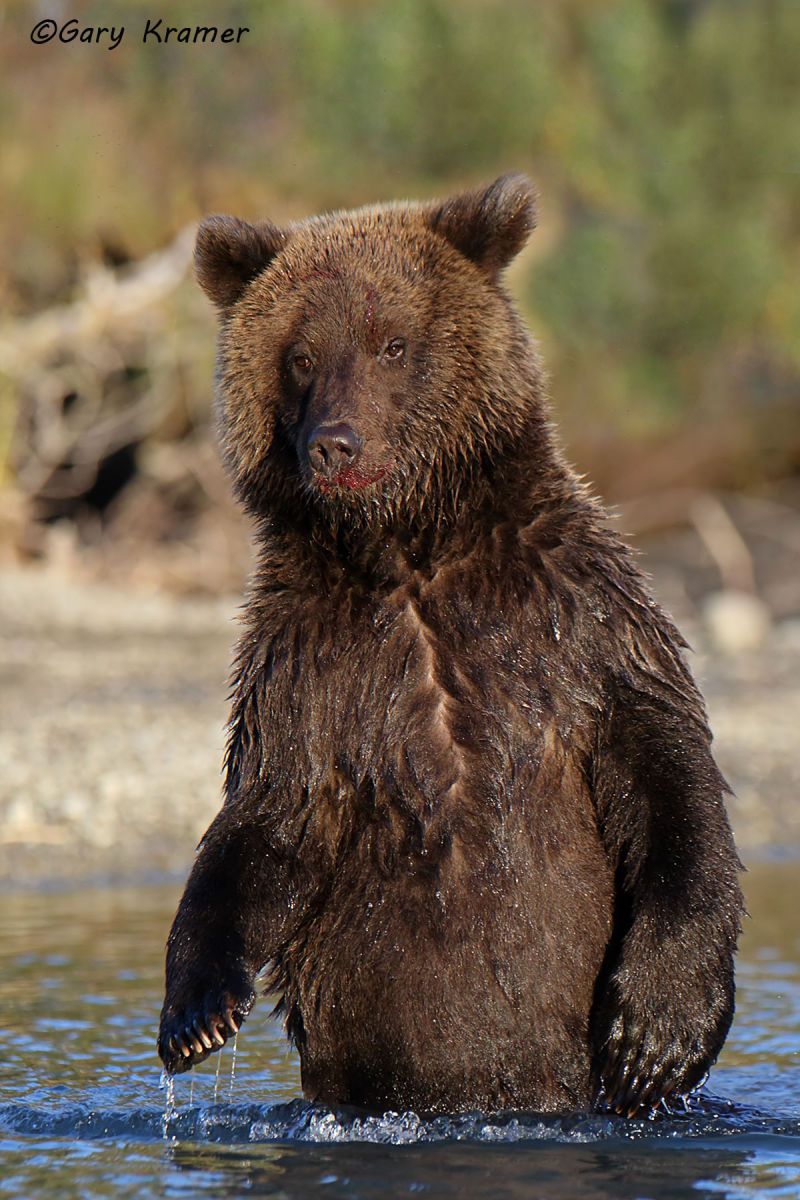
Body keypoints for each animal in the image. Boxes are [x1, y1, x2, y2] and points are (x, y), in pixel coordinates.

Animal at [157, 175, 744, 1118]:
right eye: (300, 356)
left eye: (393, 342)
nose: (335, 443)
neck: (408, 550)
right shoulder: (312, 663)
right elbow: (270, 815)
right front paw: (197, 1013)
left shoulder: (573, 620)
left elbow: (663, 769)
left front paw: (656, 1034)